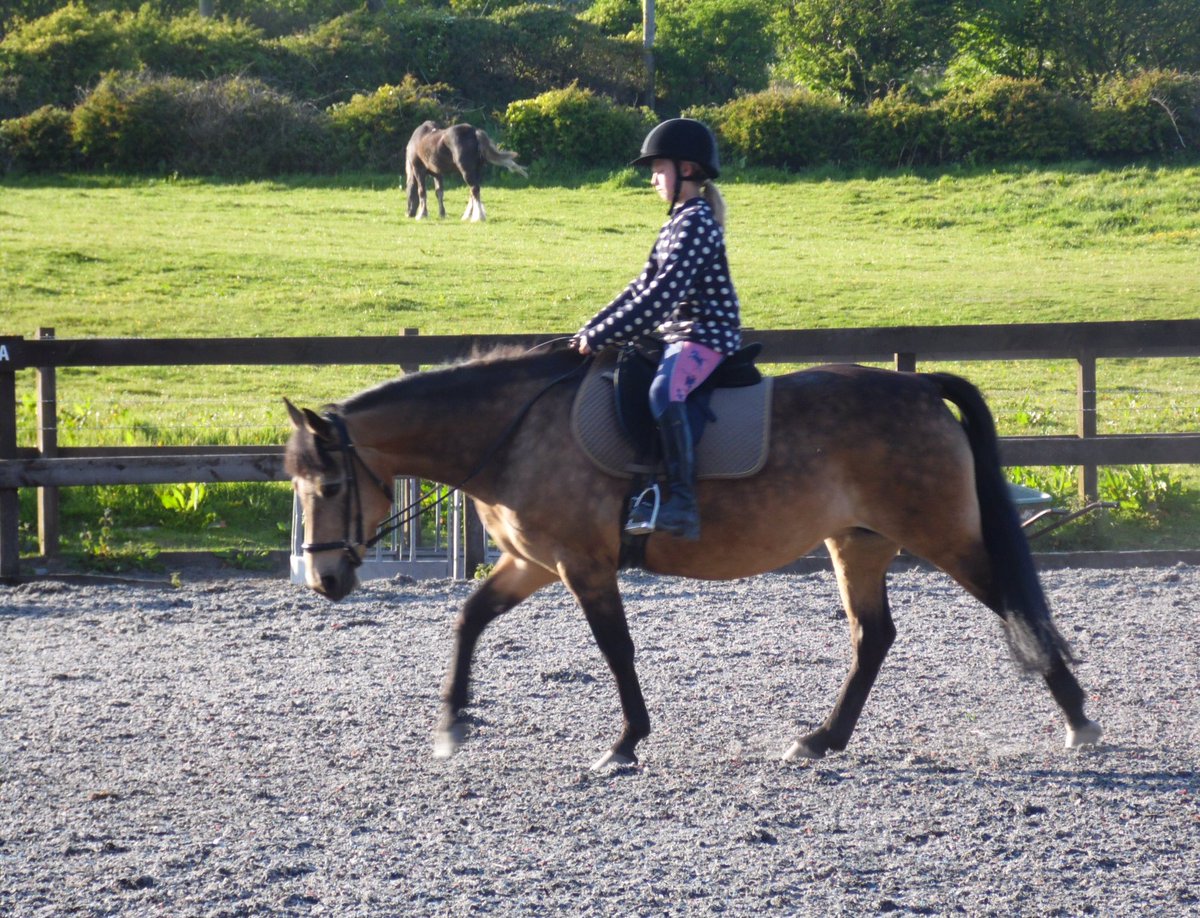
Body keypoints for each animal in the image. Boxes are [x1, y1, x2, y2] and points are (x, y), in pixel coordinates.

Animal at [284, 345, 1102, 770]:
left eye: (330, 485)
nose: (324, 579)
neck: (513, 431)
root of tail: (917, 385)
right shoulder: (532, 564)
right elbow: (468, 621)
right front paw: (452, 724)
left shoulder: (582, 564)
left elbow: (615, 649)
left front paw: (624, 743)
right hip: (858, 542)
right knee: (874, 637)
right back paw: (822, 739)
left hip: (941, 536)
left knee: (1013, 606)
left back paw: (1078, 721)